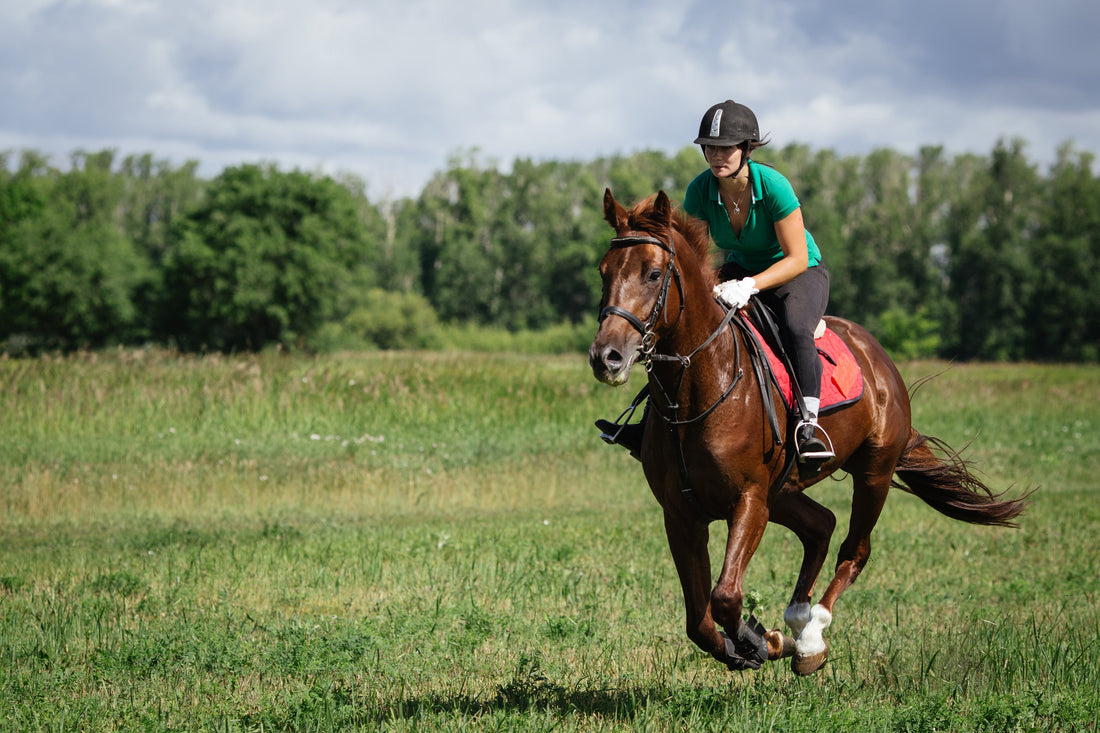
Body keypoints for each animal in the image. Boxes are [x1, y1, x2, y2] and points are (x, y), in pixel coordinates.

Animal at [588, 189, 1029, 675]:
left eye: (652, 274)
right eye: (604, 272)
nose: (606, 357)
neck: (698, 390)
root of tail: (878, 358)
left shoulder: (749, 501)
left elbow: (725, 598)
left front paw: (759, 641)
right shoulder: (682, 514)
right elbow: (699, 621)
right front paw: (755, 643)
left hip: (872, 473)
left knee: (854, 550)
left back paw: (811, 638)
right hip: (785, 490)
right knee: (821, 525)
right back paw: (797, 622)